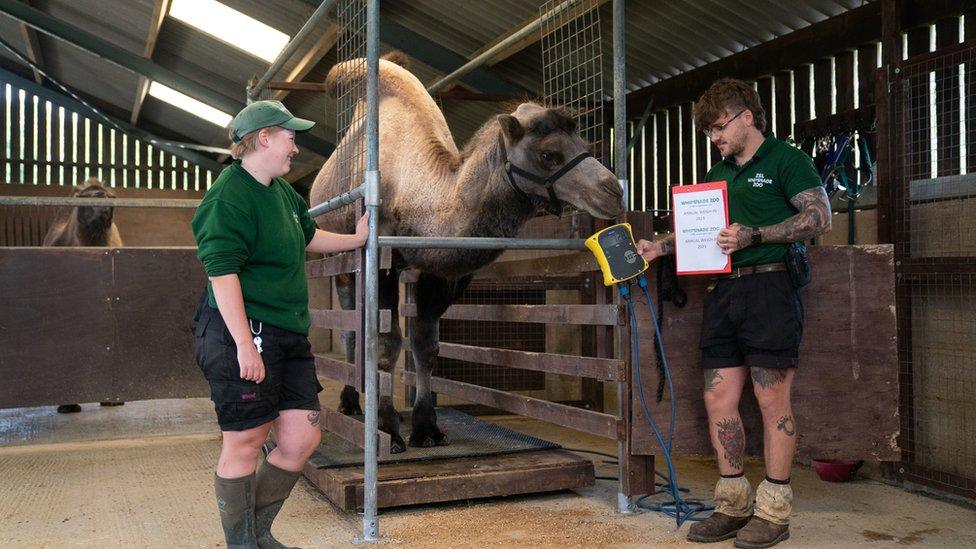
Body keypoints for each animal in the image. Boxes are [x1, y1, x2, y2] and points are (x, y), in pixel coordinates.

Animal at [308, 53, 620, 452]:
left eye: (585, 146)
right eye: (549, 154)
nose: (613, 190)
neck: (420, 193)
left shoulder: (438, 271)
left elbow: (425, 346)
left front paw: (426, 427)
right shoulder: (382, 262)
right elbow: (387, 343)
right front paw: (390, 430)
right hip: (338, 258)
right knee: (349, 329)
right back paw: (350, 403)